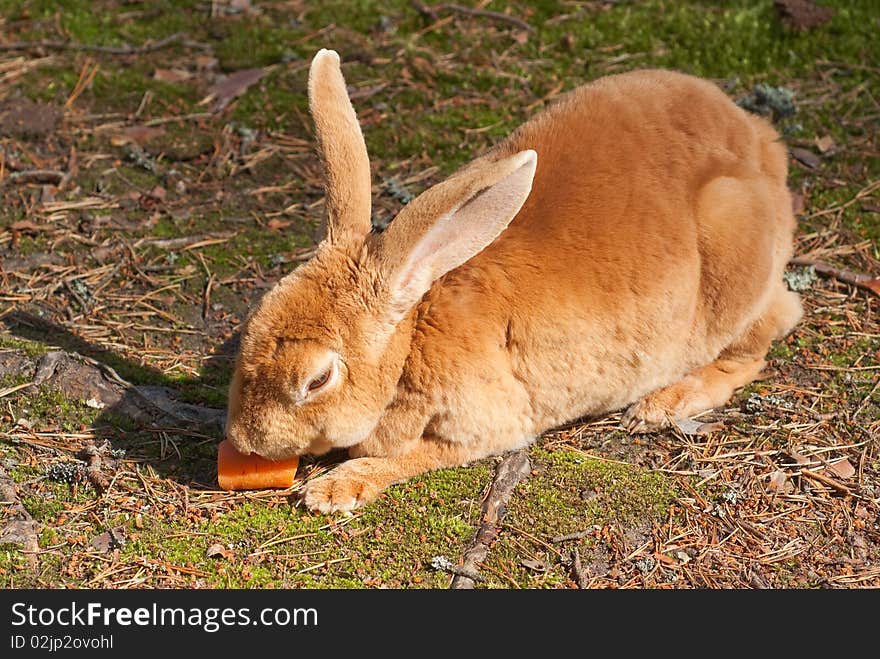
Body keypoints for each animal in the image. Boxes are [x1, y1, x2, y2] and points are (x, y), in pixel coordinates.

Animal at [223, 51, 800, 516]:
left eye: (317, 379)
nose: (243, 439)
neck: (410, 339)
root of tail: (760, 142)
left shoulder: (487, 425)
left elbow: (410, 457)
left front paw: (333, 489)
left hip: (733, 255)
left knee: (760, 339)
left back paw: (664, 404)